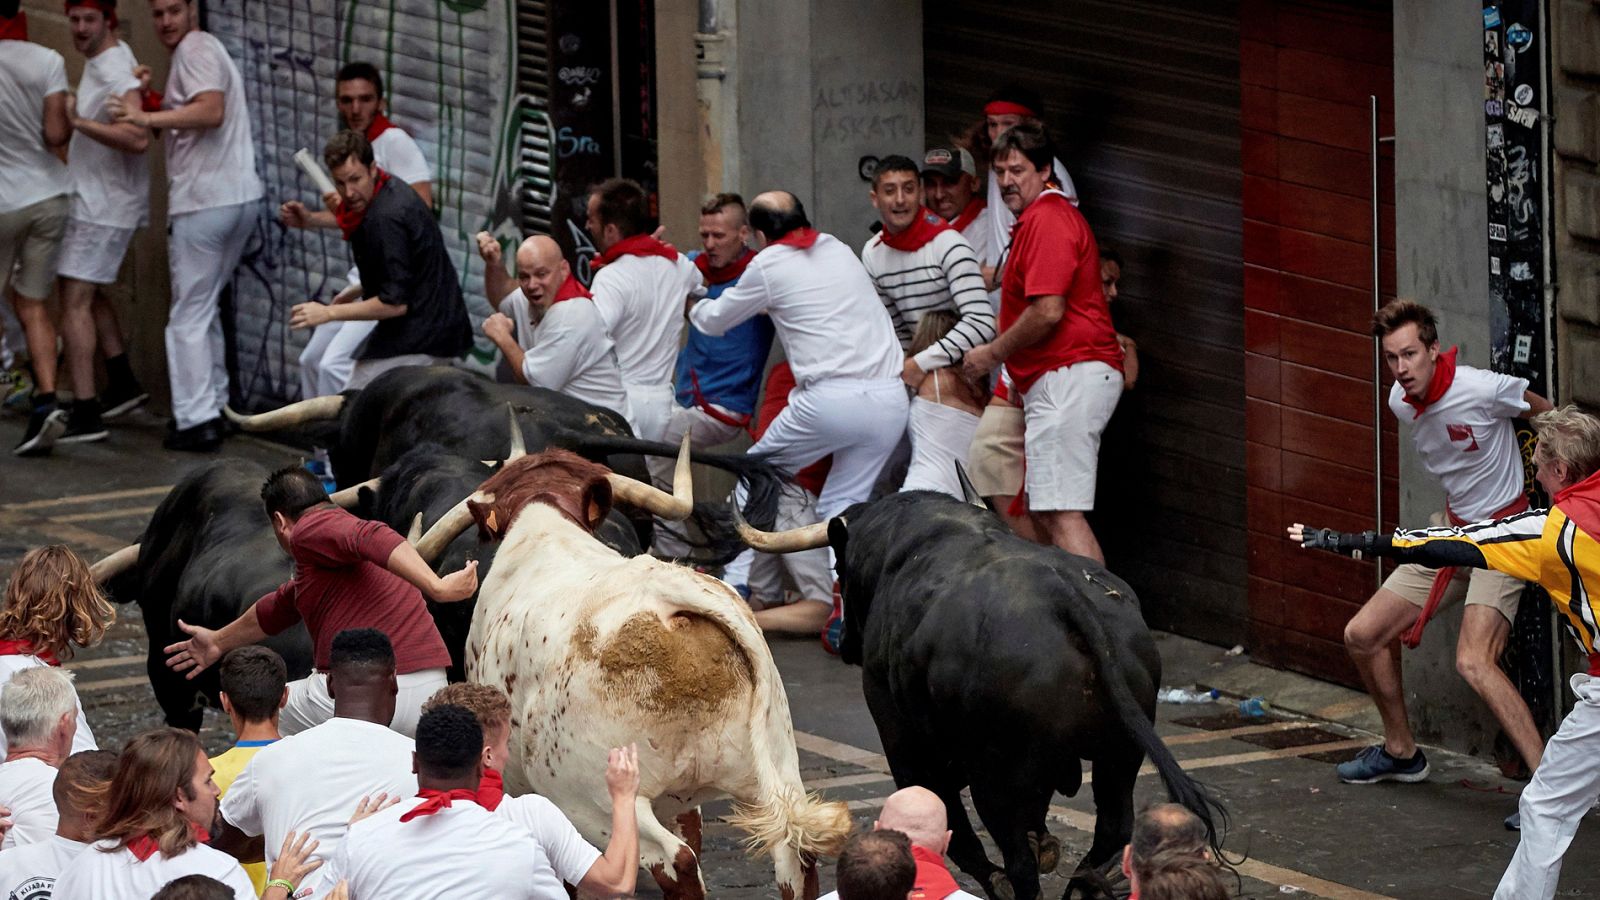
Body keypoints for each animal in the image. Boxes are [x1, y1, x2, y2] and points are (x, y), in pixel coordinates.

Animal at [419, 438, 857, 890]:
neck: (545, 526)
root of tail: (669, 594)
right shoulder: (679, 803)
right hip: (776, 777)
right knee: (791, 854)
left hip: (597, 802)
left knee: (674, 860)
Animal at [825, 493, 1222, 896]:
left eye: (839, 569)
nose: (845, 643)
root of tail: (1059, 591)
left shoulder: (902, 741)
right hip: (1120, 755)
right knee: (1112, 829)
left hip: (995, 778)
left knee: (1017, 859)